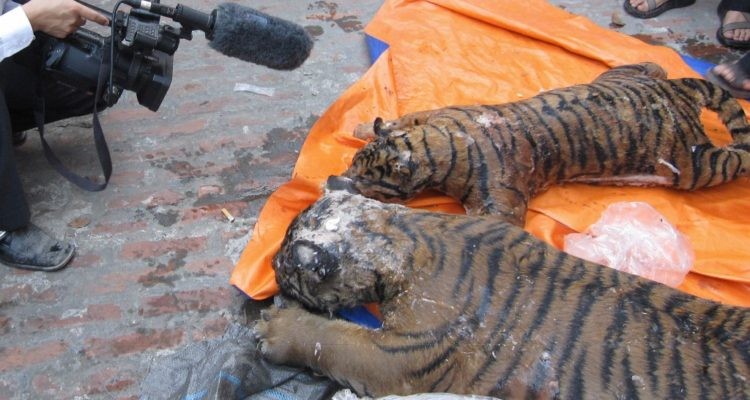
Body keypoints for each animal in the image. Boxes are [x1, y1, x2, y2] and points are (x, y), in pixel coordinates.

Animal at [255, 188, 750, 399]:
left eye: (286, 265)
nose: (272, 265)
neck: (404, 233)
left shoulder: (398, 356)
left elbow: (332, 340)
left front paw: (274, 328)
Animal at [342, 62, 750, 226]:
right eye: (353, 164)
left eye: (367, 180)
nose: (339, 178)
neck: (436, 146)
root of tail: (678, 90)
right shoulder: (433, 114)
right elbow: (402, 117)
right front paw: (363, 124)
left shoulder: (502, 205)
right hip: (620, 73)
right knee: (653, 65)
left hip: (698, 165)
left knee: (737, 156)